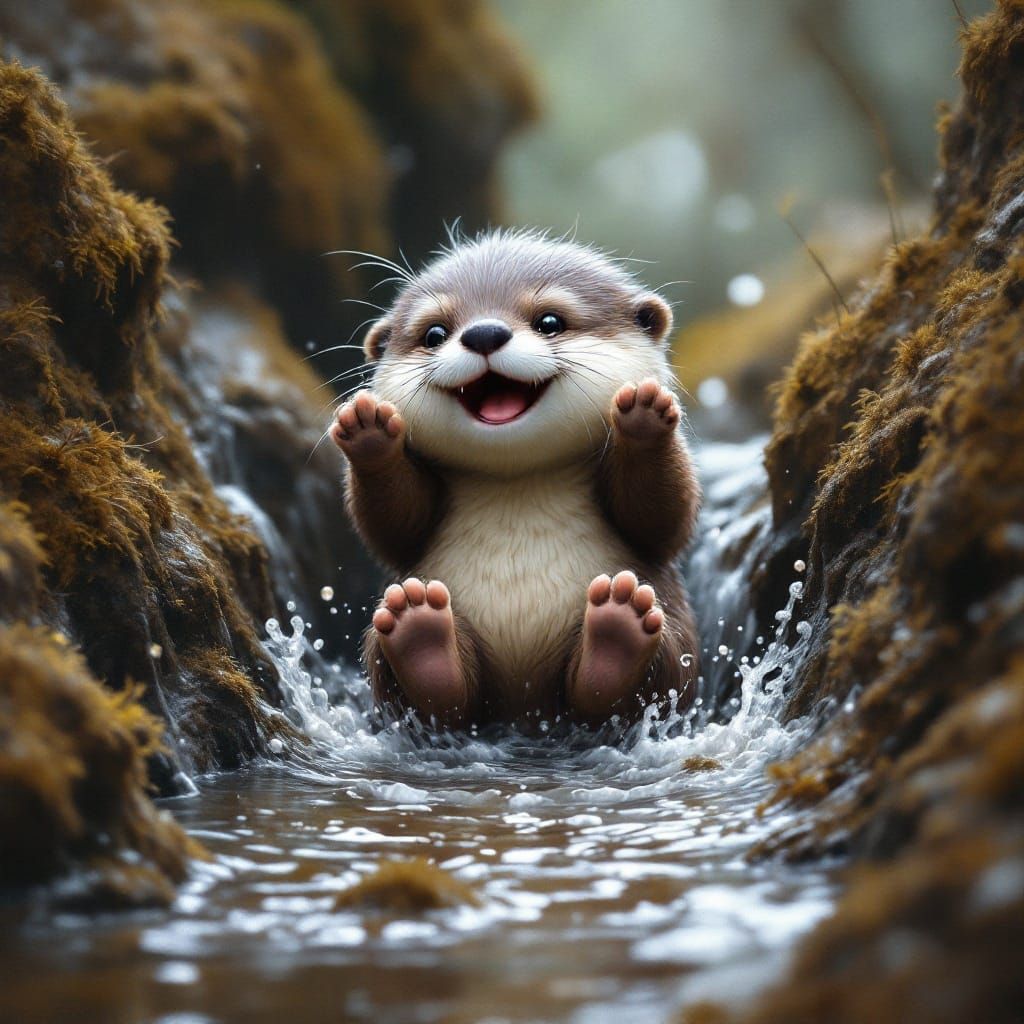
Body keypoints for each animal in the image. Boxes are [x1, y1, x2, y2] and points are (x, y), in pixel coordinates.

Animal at [330, 229, 701, 731]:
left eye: (549, 321)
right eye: (434, 333)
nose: (484, 333)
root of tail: (524, 713)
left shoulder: (656, 533)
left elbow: (665, 522)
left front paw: (645, 414)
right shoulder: (407, 528)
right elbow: (392, 528)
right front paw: (367, 429)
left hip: (675, 641)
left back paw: (617, 634)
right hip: (390, 650)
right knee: (443, 702)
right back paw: (421, 636)